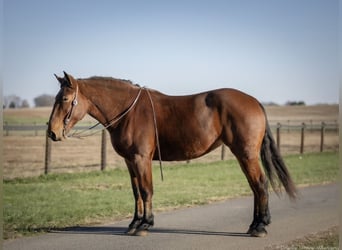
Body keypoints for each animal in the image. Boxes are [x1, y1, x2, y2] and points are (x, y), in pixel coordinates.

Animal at [48, 71, 296, 237]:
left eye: (65, 99)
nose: (52, 132)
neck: (128, 111)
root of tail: (254, 102)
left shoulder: (141, 159)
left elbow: (146, 191)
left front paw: (145, 224)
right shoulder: (130, 161)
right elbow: (136, 193)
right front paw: (134, 223)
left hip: (246, 154)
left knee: (260, 184)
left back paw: (260, 226)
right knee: (255, 187)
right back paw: (255, 224)